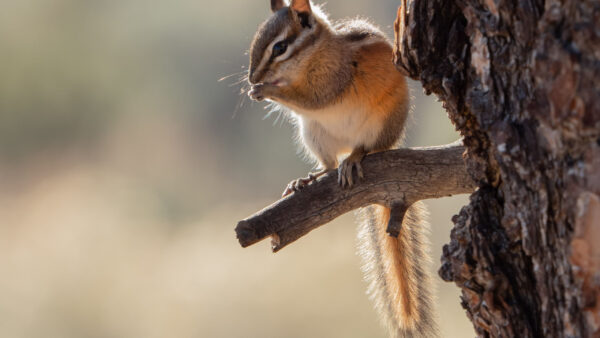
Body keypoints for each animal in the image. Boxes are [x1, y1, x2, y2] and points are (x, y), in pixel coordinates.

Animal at [246, 1, 438, 336]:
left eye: (280, 47)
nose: (251, 77)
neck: (314, 56)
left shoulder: (329, 83)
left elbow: (311, 99)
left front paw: (266, 91)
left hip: (376, 126)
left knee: (362, 149)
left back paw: (354, 158)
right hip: (314, 134)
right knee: (328, 163)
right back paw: (306, 180)